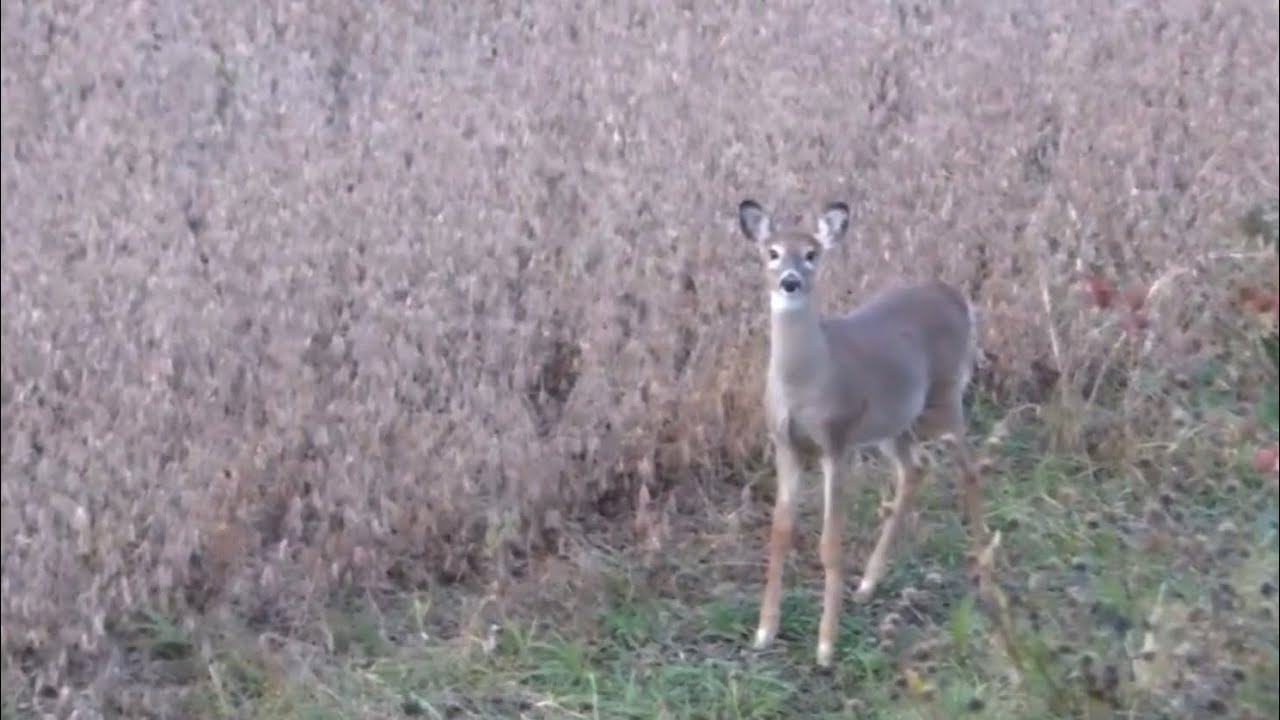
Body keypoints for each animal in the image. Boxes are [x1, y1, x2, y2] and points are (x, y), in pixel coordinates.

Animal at [736, 198, 988, 669]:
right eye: (772, 252)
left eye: (812, 253)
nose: (791, 282)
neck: (806, 381)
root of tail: (957, 296)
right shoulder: (785, 444)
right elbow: (780, 534)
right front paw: (763, 632)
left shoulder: (837, 441)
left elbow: (830, 544)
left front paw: (825, 646)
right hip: (895, 422)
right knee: (916, 467)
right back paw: (869, 584)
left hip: (946, 396)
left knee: (969, 468)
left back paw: (983, 570)